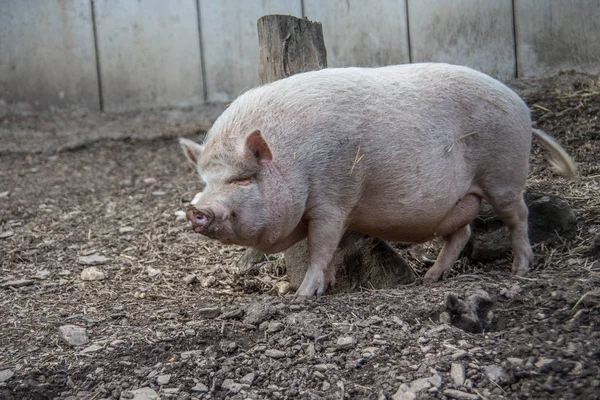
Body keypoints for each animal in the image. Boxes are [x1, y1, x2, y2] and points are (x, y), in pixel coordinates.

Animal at [179, 62, 576, 296]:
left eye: (242, 179)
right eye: (206, 181)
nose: (196, 211)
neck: (294, 160)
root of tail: (522, 106)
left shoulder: (333, 200)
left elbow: (321, 247)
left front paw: (303, 296)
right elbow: (323, 250)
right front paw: (328, 286)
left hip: (504, 173)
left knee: (518, 216)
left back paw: (519, 270)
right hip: (458, 200)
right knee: (461, 233)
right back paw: (430, 278)